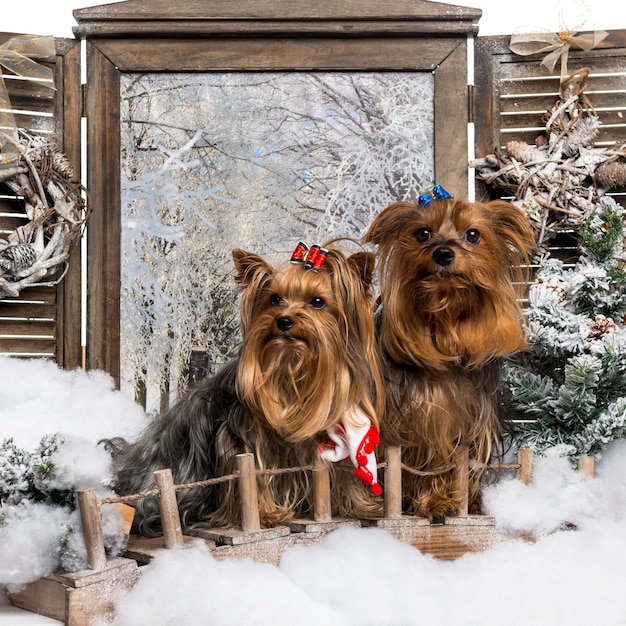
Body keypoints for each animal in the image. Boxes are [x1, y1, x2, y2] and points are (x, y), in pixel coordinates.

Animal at [105, 241, 382, 532]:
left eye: (317, 302)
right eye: (274, 299)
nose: (284, 321)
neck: (290, 369)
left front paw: (361, 505)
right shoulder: (242, 438)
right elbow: (253, 472)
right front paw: (266, 513)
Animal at [364, 189, 532, 516]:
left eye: (473, 234)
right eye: (422, 233)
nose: (443, 253)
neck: (445, 323)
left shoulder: (470, 416)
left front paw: (462, 500)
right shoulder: (419, 418)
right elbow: (431, 455)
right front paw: (436, 502)